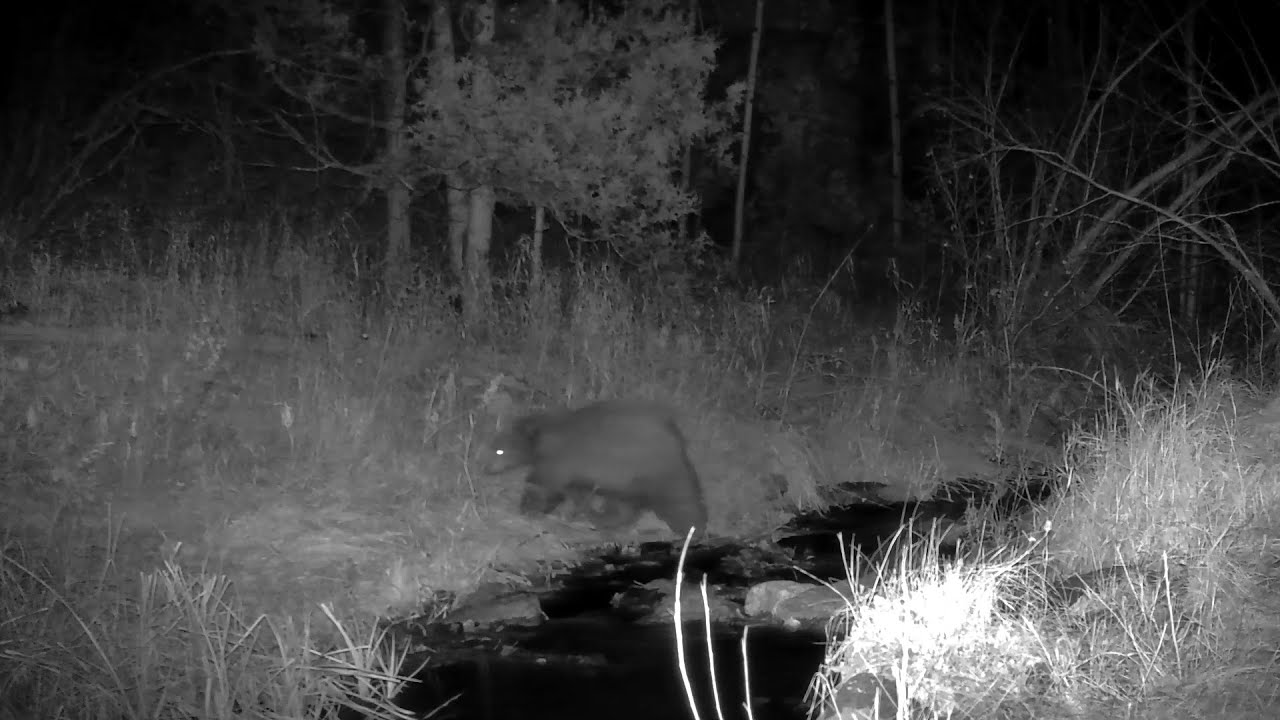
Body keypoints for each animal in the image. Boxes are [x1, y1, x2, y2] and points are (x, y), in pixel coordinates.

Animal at [483, 400, 708, 537]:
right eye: (493, 447)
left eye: (499, 451)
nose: (486, 469)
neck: (542, 439)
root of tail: (677, 438)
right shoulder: (578, 471)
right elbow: (575, 491)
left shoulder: (561, 459)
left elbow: (544, 484)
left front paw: (529, 508)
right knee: (624, 505)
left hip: (654, 470)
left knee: (680, 499)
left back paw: (692, 528)